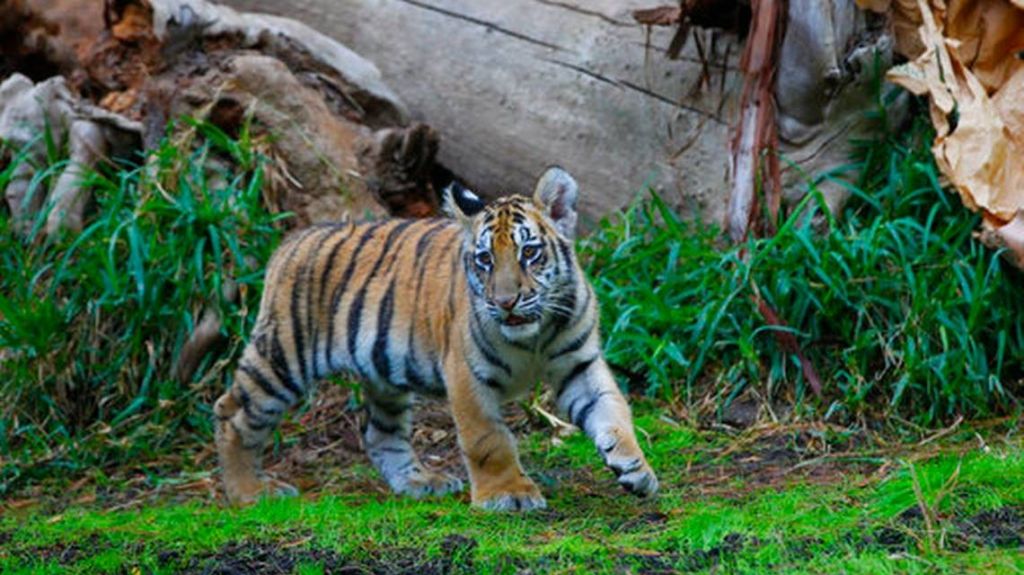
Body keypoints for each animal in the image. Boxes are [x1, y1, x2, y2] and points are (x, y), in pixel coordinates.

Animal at [212, 166, 658, 511]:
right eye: (485, 260)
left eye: (529, 253)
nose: (505, 302)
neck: (534, 335)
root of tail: (291, 241)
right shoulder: (466, 374)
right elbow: (488, 439)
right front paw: (508, 494)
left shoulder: (579, 365)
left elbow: (613, 411)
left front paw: (636, 468)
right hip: (284, 357)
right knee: (232, 413)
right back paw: (249, 493)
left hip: (383, 374)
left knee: (380, 434)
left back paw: (419, 482)